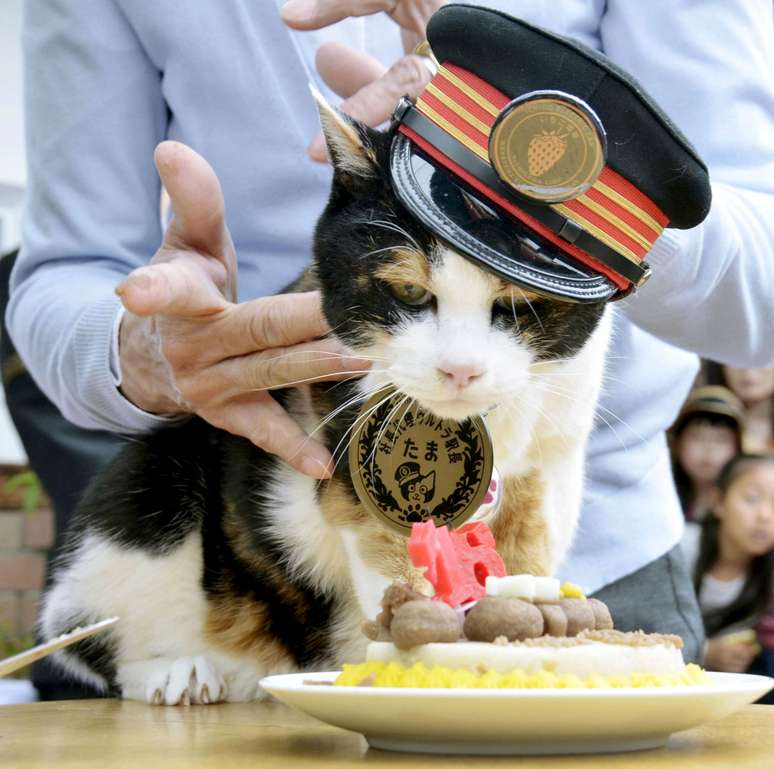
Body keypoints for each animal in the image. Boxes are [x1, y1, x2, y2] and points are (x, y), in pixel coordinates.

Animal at [41, 96, 612, 704]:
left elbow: (527, 549)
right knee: (85, 632)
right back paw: (180, 672)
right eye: (409, 291)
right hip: (150, 489)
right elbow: (395, 559)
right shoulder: (352, 447)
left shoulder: (548, 460)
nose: (460, 368)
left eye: (517, 305)